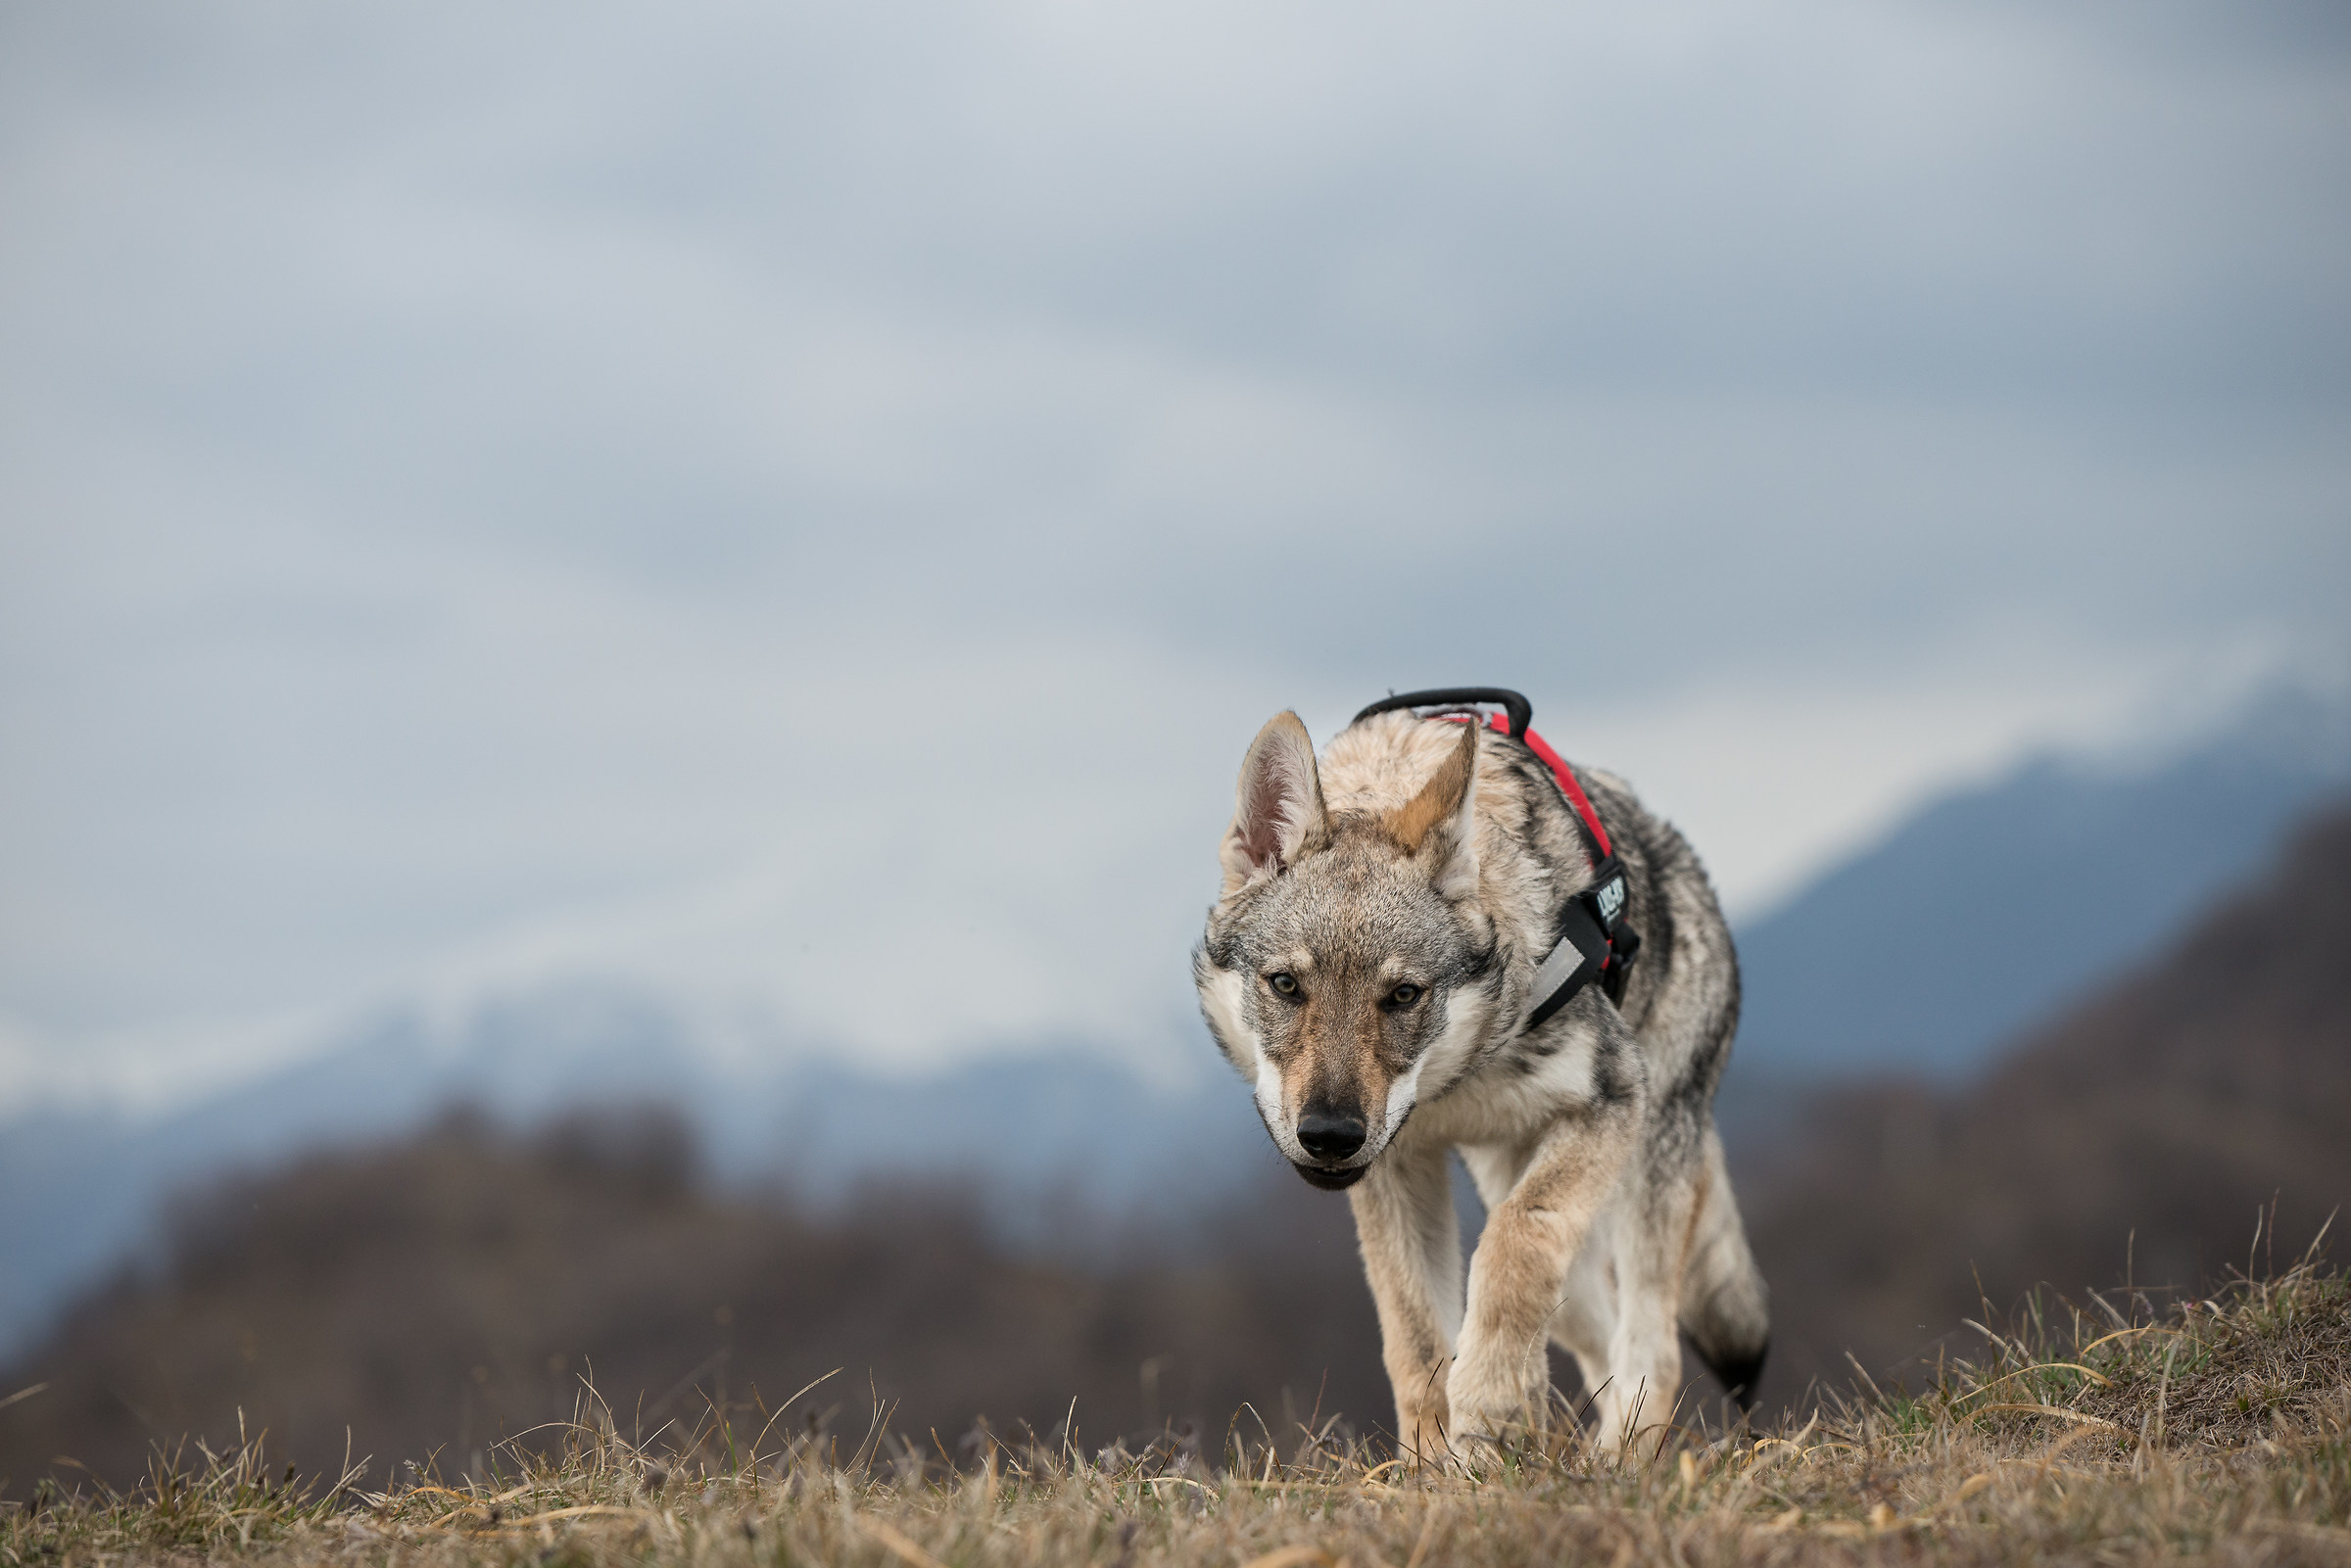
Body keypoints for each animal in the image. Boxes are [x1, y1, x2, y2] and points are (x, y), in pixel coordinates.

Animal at [1192, 701, 1768, 1461]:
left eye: (1403, 995)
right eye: (1287, 985)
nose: (1330, 1136)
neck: (1457, 1082)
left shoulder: (1613, 1098)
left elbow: (1513, 1244)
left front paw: (1488, 1403)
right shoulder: (1398, 1167)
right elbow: (1414, 1336)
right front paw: (1435, 1463)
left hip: (1646, 1170)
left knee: (1652, 1346)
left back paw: (1617, 1462)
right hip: (1545, 1221)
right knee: (1597, 1334)